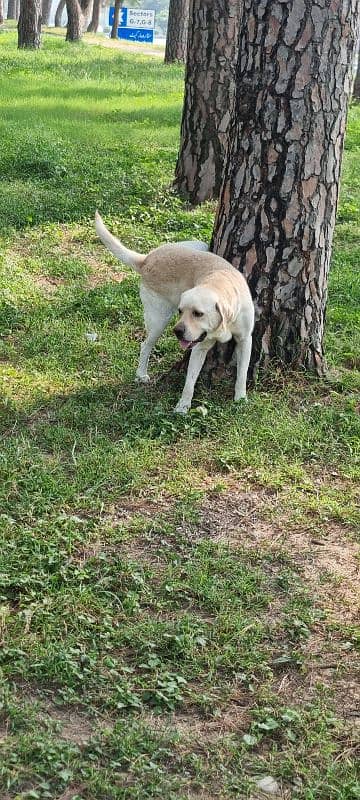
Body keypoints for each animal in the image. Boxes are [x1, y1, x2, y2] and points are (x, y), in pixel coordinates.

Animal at [94, 209, 255, 416]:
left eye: (198, 313)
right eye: (181, 311)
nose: (177, 332)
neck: (218, 282)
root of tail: (147, 259)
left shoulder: (245, 340)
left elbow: (242, 373)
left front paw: (240, 398)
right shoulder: (199, 348)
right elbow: (190, 381)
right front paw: (183, 406)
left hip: (199, 244)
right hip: (158, 321)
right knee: (145, 345)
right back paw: (141, 374)